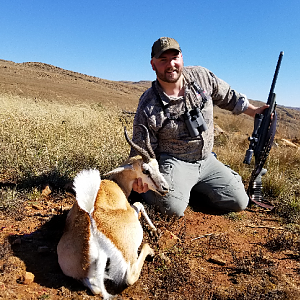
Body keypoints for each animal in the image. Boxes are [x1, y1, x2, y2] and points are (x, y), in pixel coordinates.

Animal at [56, 125, 169, 300]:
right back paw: (150, 249)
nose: (165, 188)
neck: (113, 184)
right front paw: (155, 230)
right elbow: (140, 204)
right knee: (129, 277)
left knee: (96, 288)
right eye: (145, 170)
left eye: (157, 165)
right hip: (131, 247)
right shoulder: (131, 209)